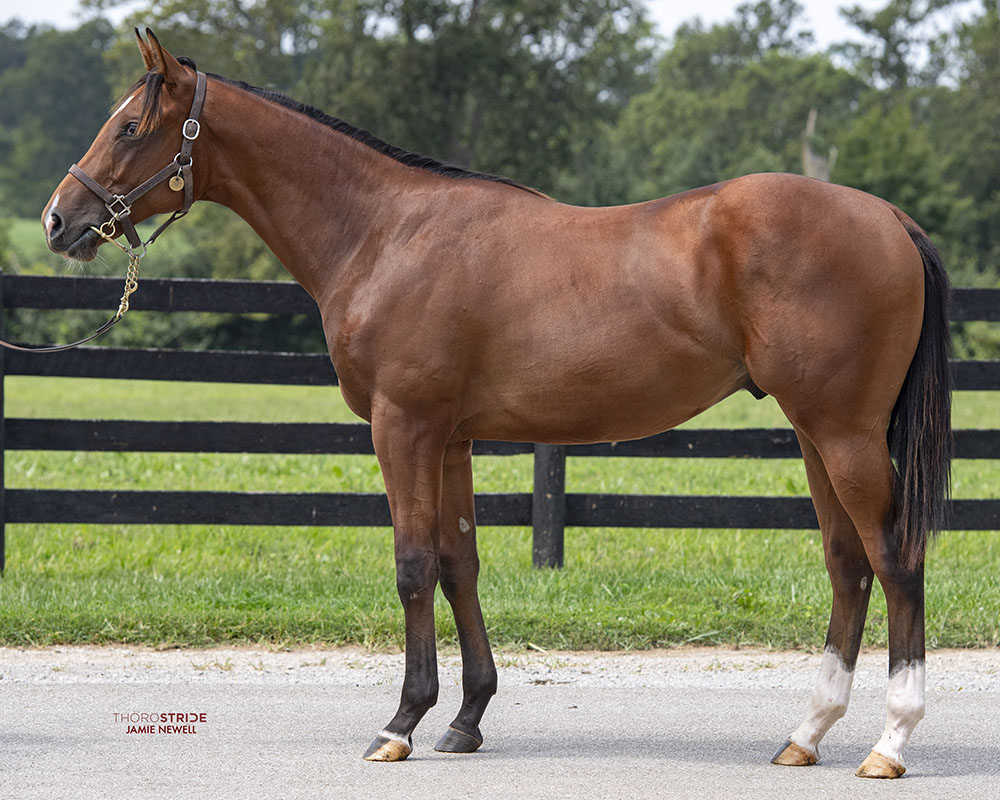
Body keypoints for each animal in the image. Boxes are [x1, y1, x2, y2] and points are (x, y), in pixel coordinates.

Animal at [45, 29, 952, 776]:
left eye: (128, 127)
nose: (59, 219)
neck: (386, 234)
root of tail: (888, 216)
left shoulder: (403, 428)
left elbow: (413, 565)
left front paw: (401, 724)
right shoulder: (451, 438)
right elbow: (459, 565)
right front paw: (467, 718)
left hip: (844, 434)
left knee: (894, 560)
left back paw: (889, 743)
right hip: (813, 434)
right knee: (847, 565)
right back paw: (806, 734)